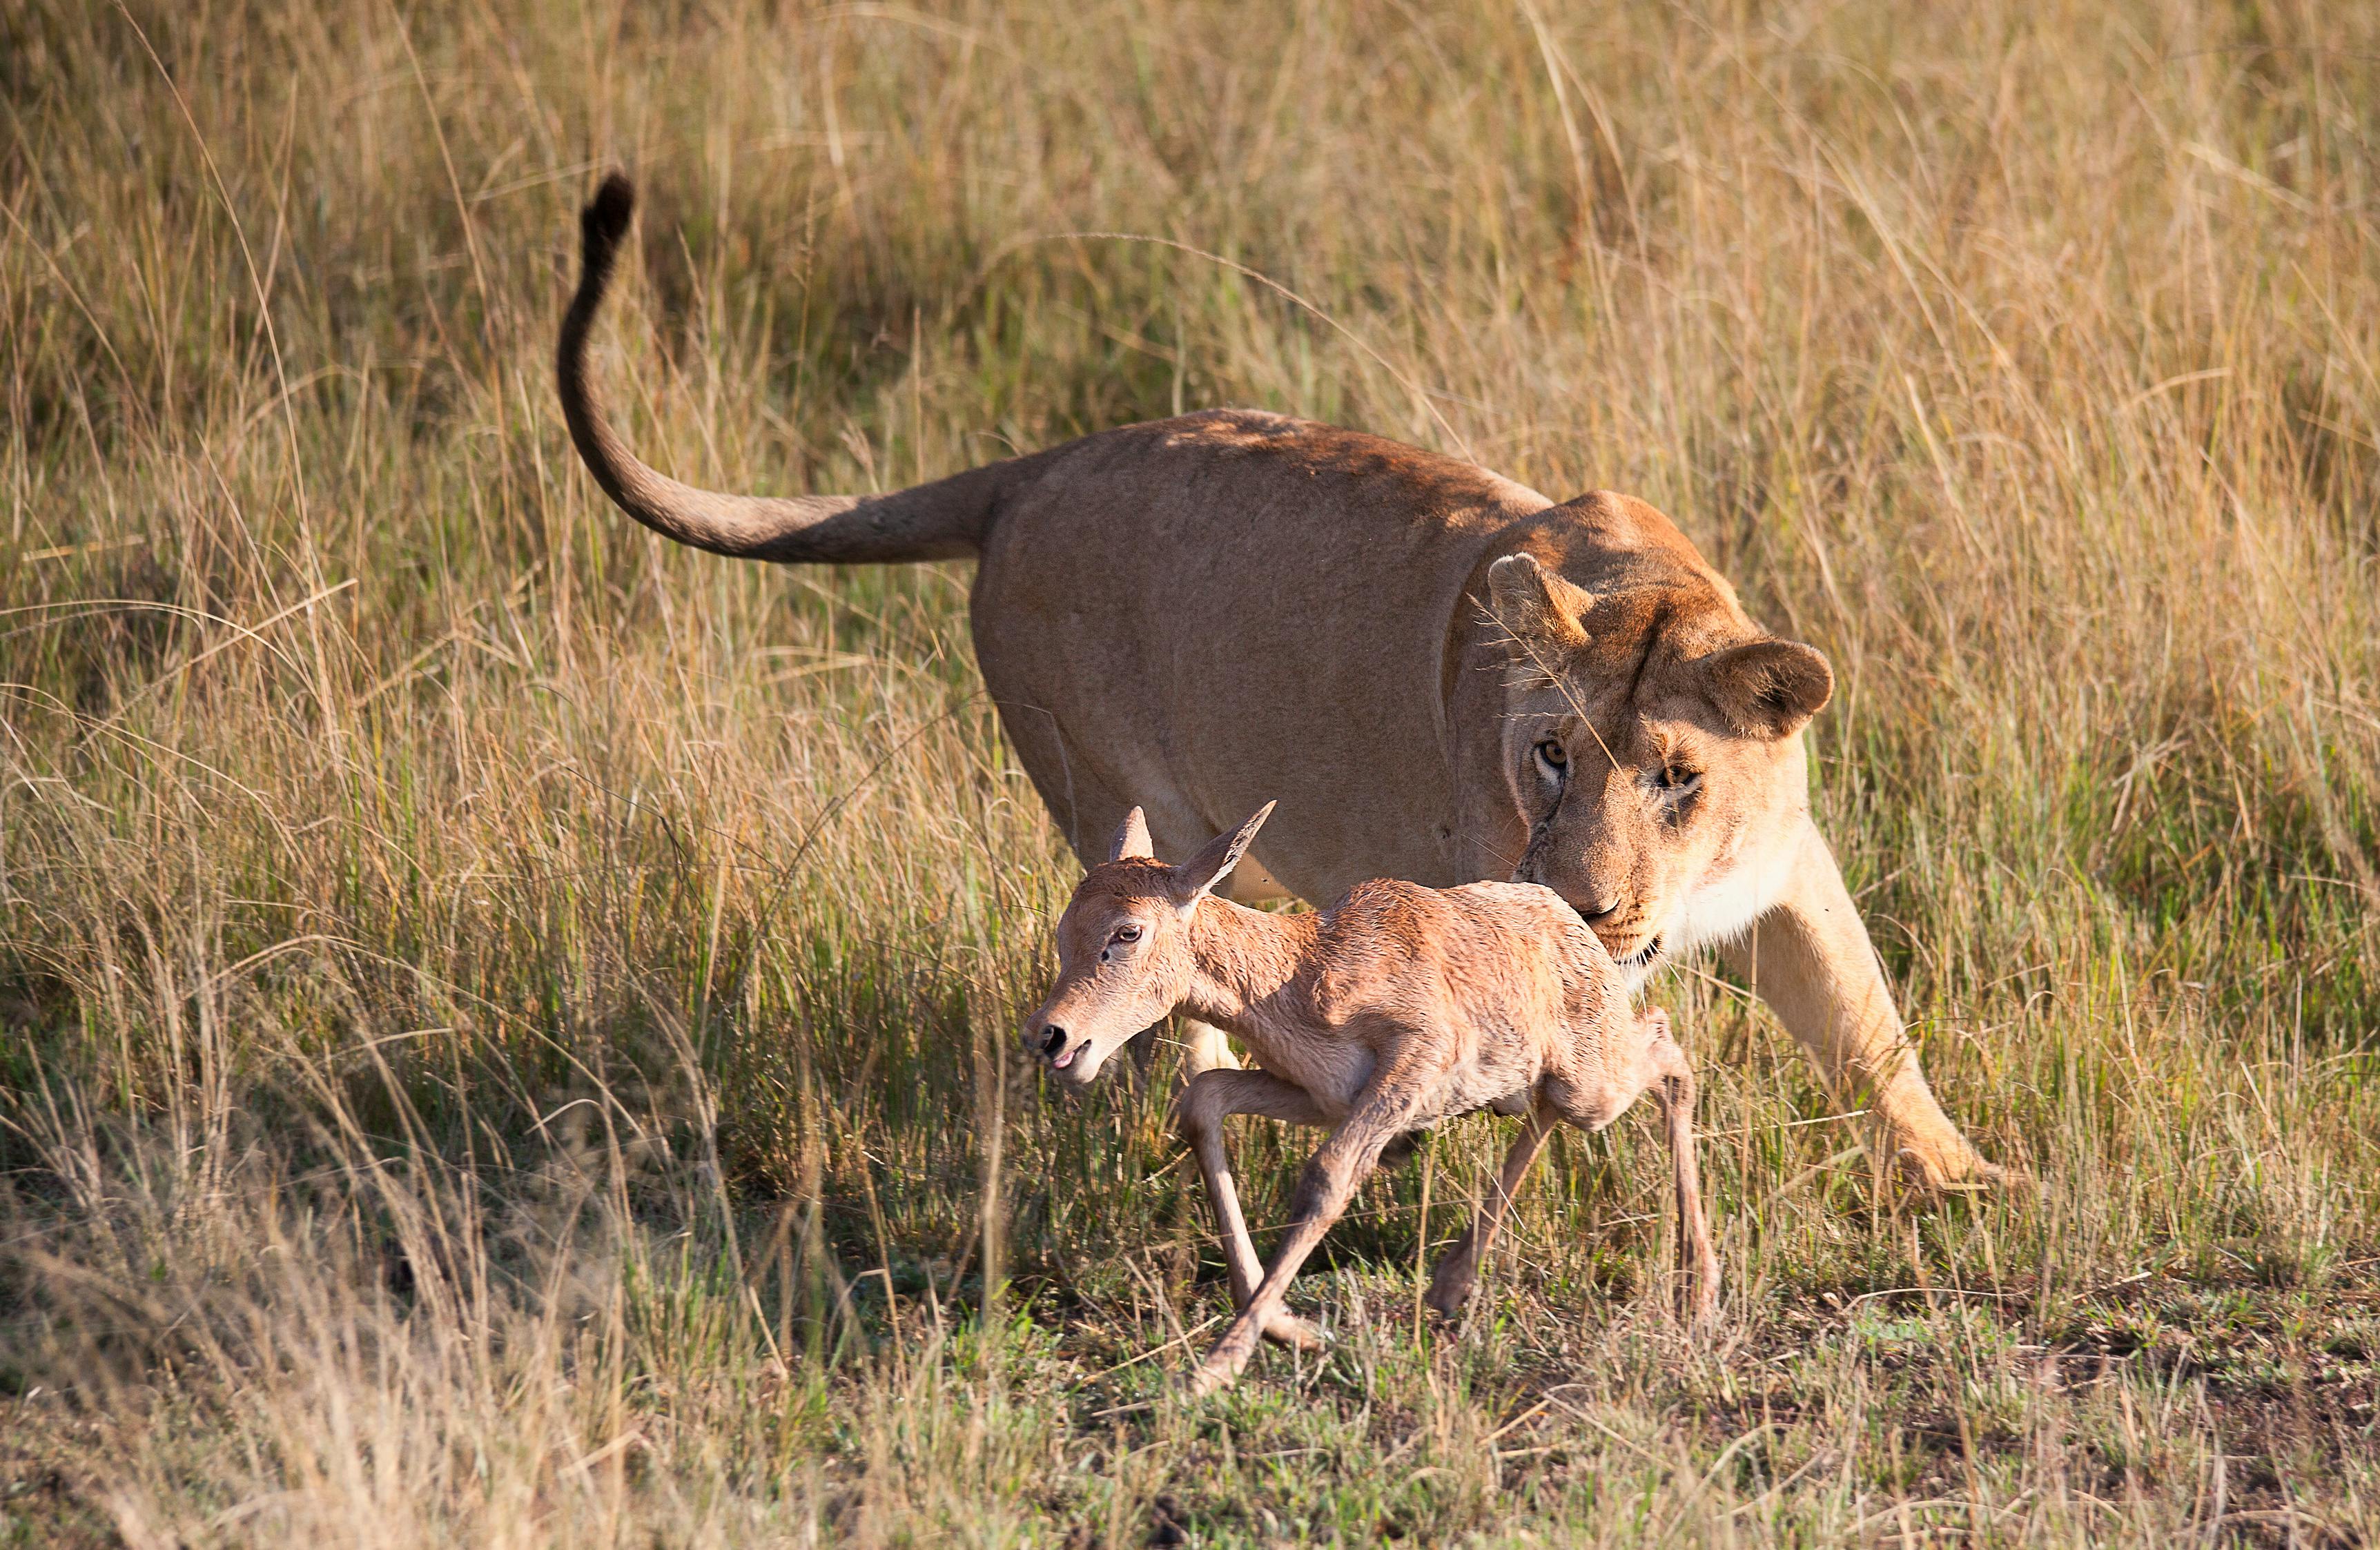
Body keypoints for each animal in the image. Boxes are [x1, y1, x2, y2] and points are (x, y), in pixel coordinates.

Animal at [1033, 800, 1723, 1390]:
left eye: (1128, 931)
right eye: (1065, 925)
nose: (1051, 1035)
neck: (1303, 971)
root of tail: (1569, 922)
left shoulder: (1416, 1057)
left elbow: (1328, 1176)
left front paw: (1217, 1367)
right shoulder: (1320, 1095)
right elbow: (1202, 1100)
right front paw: (1292, 1330)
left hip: (1594, 1084)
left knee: (1668, 1053)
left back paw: (1699, 1289)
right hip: (1552, 1083)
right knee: (1554, 1107)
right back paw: (1450, 1286)